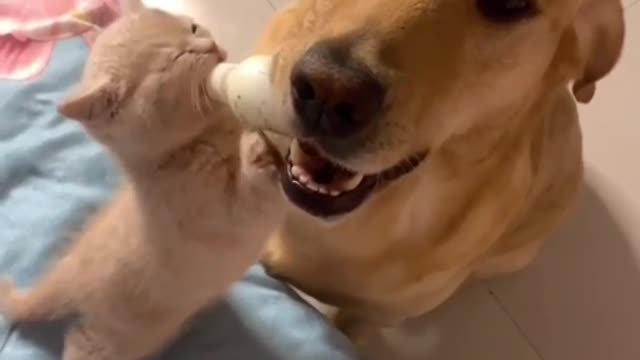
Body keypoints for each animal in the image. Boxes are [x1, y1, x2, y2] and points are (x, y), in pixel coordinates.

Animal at [0, 5, 284, 360]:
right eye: (176, 58)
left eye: (192, 28)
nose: (209, 45)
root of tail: (71, 277)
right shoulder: (213, 214)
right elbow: (248, 201)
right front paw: (257, 152)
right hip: (116, 338)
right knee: (83, 343)